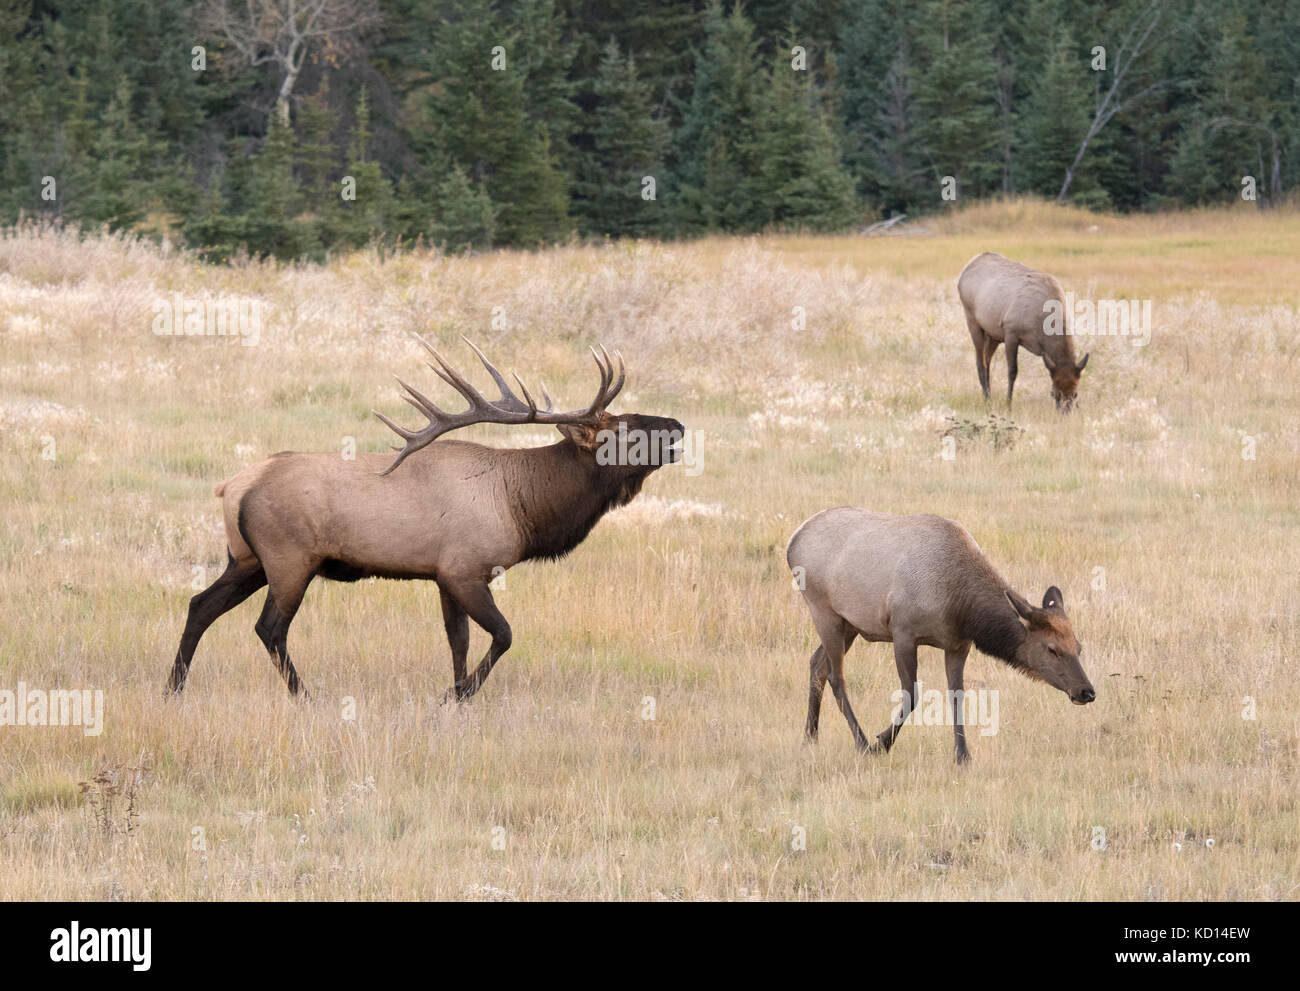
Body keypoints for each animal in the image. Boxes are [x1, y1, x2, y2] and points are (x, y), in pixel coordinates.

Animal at [167, 340, 686, 702]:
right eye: (623, 429)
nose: (679, 425)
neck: (523, 507)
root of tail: (232, 487)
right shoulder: (464, 569)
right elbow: (503, 634)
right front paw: (457, 694)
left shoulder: (444, 575)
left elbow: (458, 641)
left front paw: (455, 694)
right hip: (289, 559)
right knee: (269, 628)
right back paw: (305, 696)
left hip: (246, 559)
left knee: (200, 605)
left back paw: (172, 687)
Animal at [780, 504, 1097, 759]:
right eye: (1052, 649)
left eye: (1079, 646)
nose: (1087, 691)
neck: (960, 606)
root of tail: (792, 541)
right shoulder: (903, 632)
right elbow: (911, 694)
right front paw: (882, 742)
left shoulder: (957, 644)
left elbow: (957, 695)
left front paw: (963, 755)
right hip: (823, 610)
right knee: (836, 676)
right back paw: (861, 743)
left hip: (850, 623)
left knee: (816, 664)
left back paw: (810, 737)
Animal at [956, 254, 1086, 413]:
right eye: (1054, 393)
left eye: (1075, 394)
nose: (1065, 413)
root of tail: (966, 269)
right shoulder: (1011, 333)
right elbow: (1012, 371)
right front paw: (1008, 405)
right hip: (973, 321)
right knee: (980, 362)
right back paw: (986, 400)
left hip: (993, 334)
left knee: (987, 359)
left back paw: (988, 395)